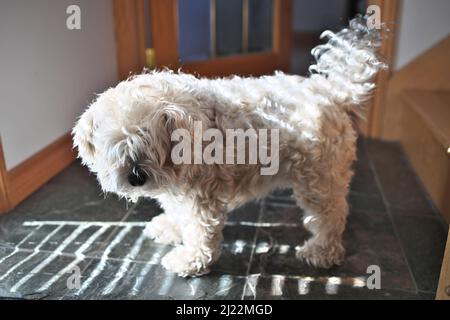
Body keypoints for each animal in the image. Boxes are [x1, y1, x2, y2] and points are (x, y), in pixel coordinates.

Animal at [72, 17, 384, 276]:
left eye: (148, 141)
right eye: (115, 146)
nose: (136, 177)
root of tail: (329, 91)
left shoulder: (201, 197)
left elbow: (200, 232)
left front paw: (190, 260)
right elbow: (176, 212)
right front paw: (170, 227)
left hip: (317, 179)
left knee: (331, 214)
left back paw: (321, 251)